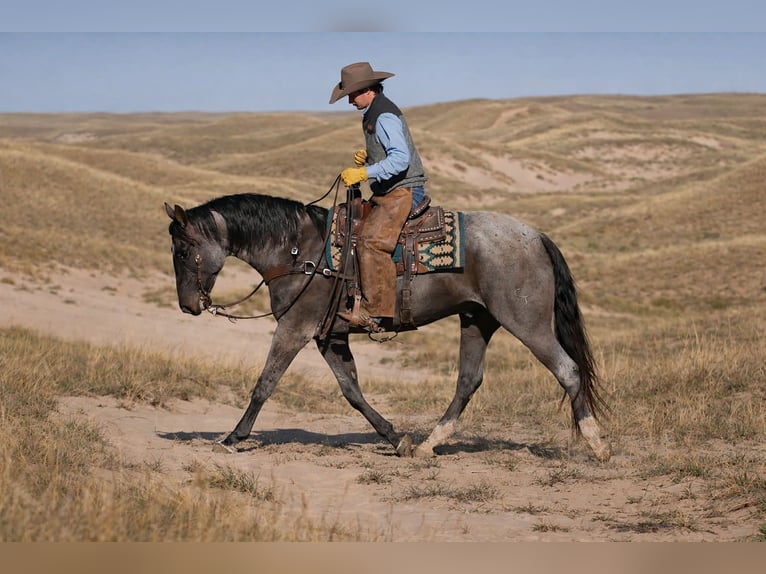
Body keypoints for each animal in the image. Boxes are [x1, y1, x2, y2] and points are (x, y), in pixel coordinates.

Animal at [164, 192, 611, 461]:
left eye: (183, 250)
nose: (187, 306)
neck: (297, 252)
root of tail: (535, 236)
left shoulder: (295, 327)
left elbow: (265, 383)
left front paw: (233, 438)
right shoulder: (330, 336)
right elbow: (352, 391)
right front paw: (398, 438)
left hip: (526, 322)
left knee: (568, 370)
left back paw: (596, 444)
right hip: (476, 320)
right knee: (468, 381)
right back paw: (430, 443)